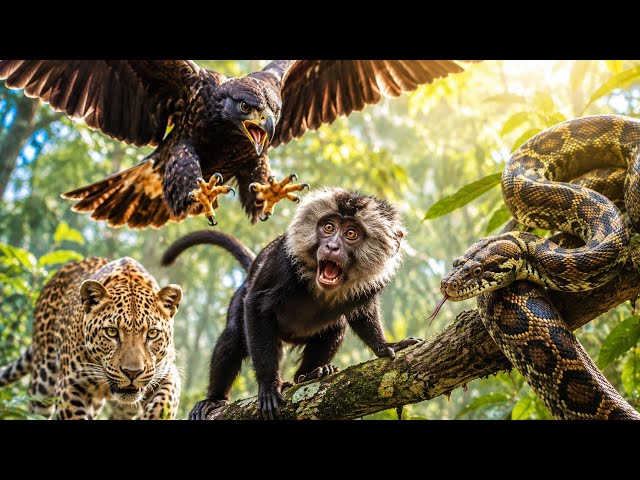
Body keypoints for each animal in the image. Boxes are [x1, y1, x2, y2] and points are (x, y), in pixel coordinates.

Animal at [162, 187, 422, 420]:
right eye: (328, 227)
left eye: (351, 233)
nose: (332, 246)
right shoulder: (282, 263)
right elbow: (255, 306)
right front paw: (269, 385)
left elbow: (362, 314)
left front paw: (386, 346)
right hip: (242, 295)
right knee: (235, 333)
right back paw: (214, 399)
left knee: (335, 327)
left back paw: (310, 374)